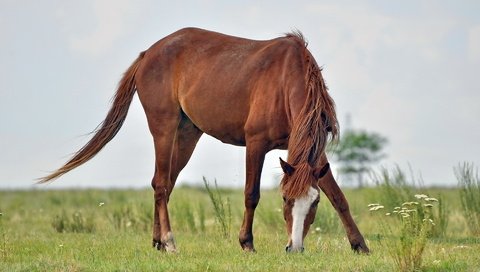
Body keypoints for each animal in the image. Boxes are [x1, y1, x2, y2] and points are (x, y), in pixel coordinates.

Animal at [40, 27, 372, 253]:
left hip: (188, 135)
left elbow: (338, 196)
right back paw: (170, 242)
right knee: (160, 184)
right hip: (164, 128)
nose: (295, 248)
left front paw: (360, 245)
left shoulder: (312, 156)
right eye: (285, 200)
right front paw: (246, 243)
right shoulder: (255, 144)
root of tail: (148, 53)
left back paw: (157, 241)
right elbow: (251, 194)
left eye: (313, 203)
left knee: (165, 183)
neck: (285, 80)